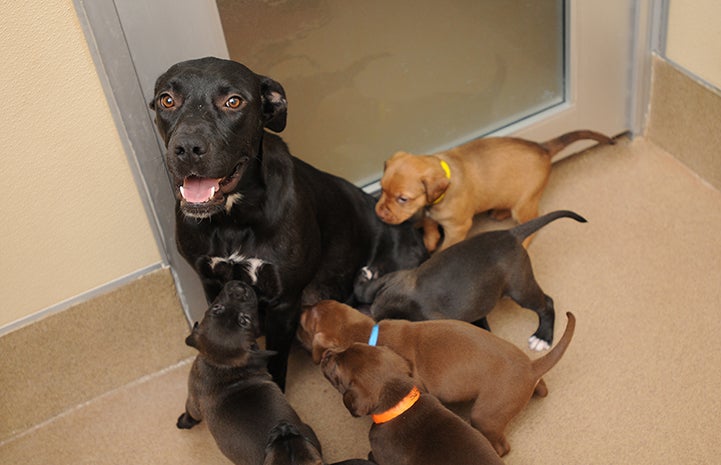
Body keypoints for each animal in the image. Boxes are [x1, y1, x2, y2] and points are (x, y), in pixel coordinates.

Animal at [148, 56, 424, 388]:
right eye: (167, 100)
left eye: (233, 101)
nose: (187, 148)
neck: (232, 220)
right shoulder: (211, 283)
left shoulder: (284, 302)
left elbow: (276, 362)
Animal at [354, 208, 584, 350]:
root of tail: (510, 233)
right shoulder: (392, 281)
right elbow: (364, 291)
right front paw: (366, 275)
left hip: (520, 289)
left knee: (547, 303)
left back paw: (543, 337)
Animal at [374, 129, 612, 250]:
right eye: (382, 189)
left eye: (403, 199)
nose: (379, 213)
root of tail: (543, 148)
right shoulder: (430, 214)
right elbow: (430, 227)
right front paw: (429, 241)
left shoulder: (458, 228)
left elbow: (445, 246)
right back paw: (499, 212)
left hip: (524, 203)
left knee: (533, 221)